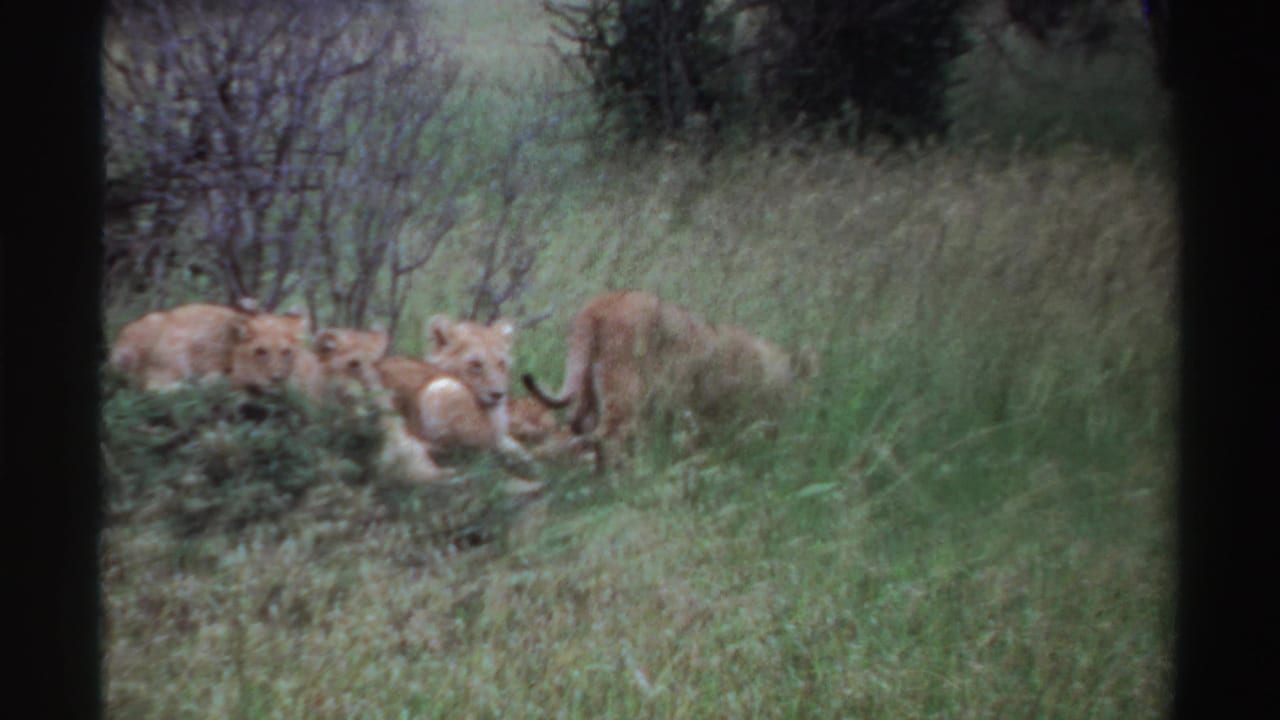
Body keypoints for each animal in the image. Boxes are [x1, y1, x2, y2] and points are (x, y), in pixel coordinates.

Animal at [522, 290, 818, 467]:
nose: (801, 414)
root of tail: (599, 304)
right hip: (625, 394)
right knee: (609, 437)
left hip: (588, 396)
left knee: (578, 433)